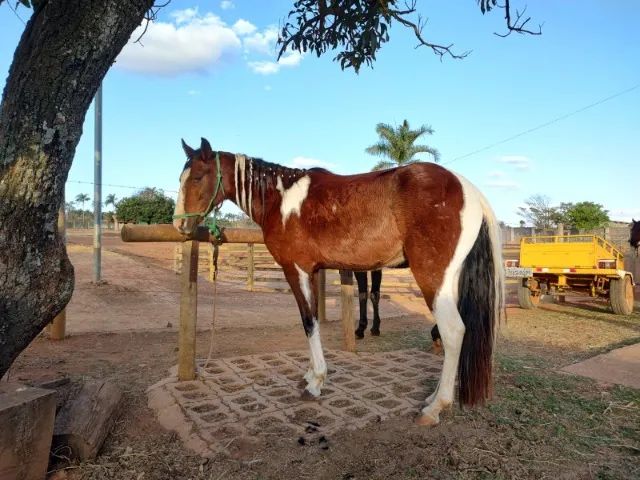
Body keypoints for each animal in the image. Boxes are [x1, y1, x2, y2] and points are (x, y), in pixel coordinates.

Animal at [173, 138, 504, 425]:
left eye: (198, 177)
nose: (180, 225)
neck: (280, 200)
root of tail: (468, 190)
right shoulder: (312, 271)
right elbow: (314, 320)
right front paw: (311, 375)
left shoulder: (295, 270)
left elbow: (308, 322)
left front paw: (316, 382)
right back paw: (431, 397)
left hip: (433, 279)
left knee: (452, 332)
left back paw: (436, 407)